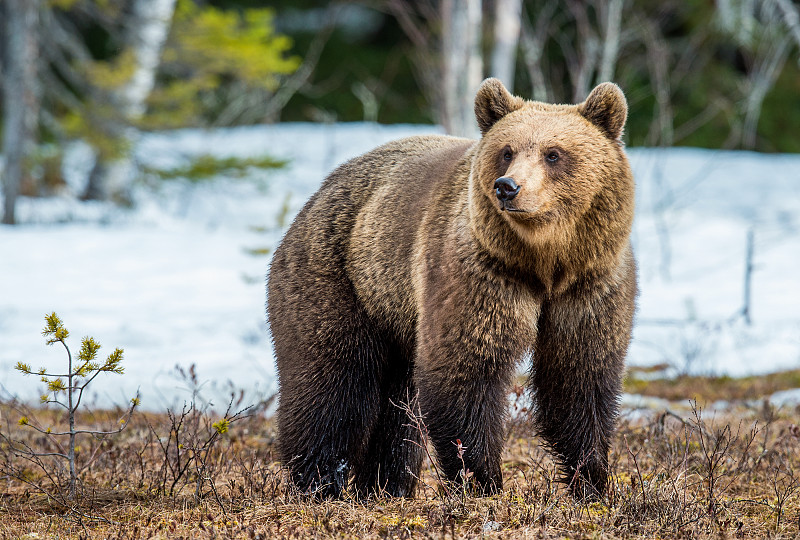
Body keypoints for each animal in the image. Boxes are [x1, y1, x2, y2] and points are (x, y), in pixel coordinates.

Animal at [268, 78, 636, 500]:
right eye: (507, 151)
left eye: (553, 153)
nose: (507, 187)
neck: (544, 263)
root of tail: (320, 192)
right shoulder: (479, 273)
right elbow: (466, 368)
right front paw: (483, 481)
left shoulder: (590, 285)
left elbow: (578, 376)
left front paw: (592, 480)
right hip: (337, 277)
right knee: (331, 382)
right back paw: (320, 481)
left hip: (393, 312)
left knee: (396, 407)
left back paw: (384, 485)